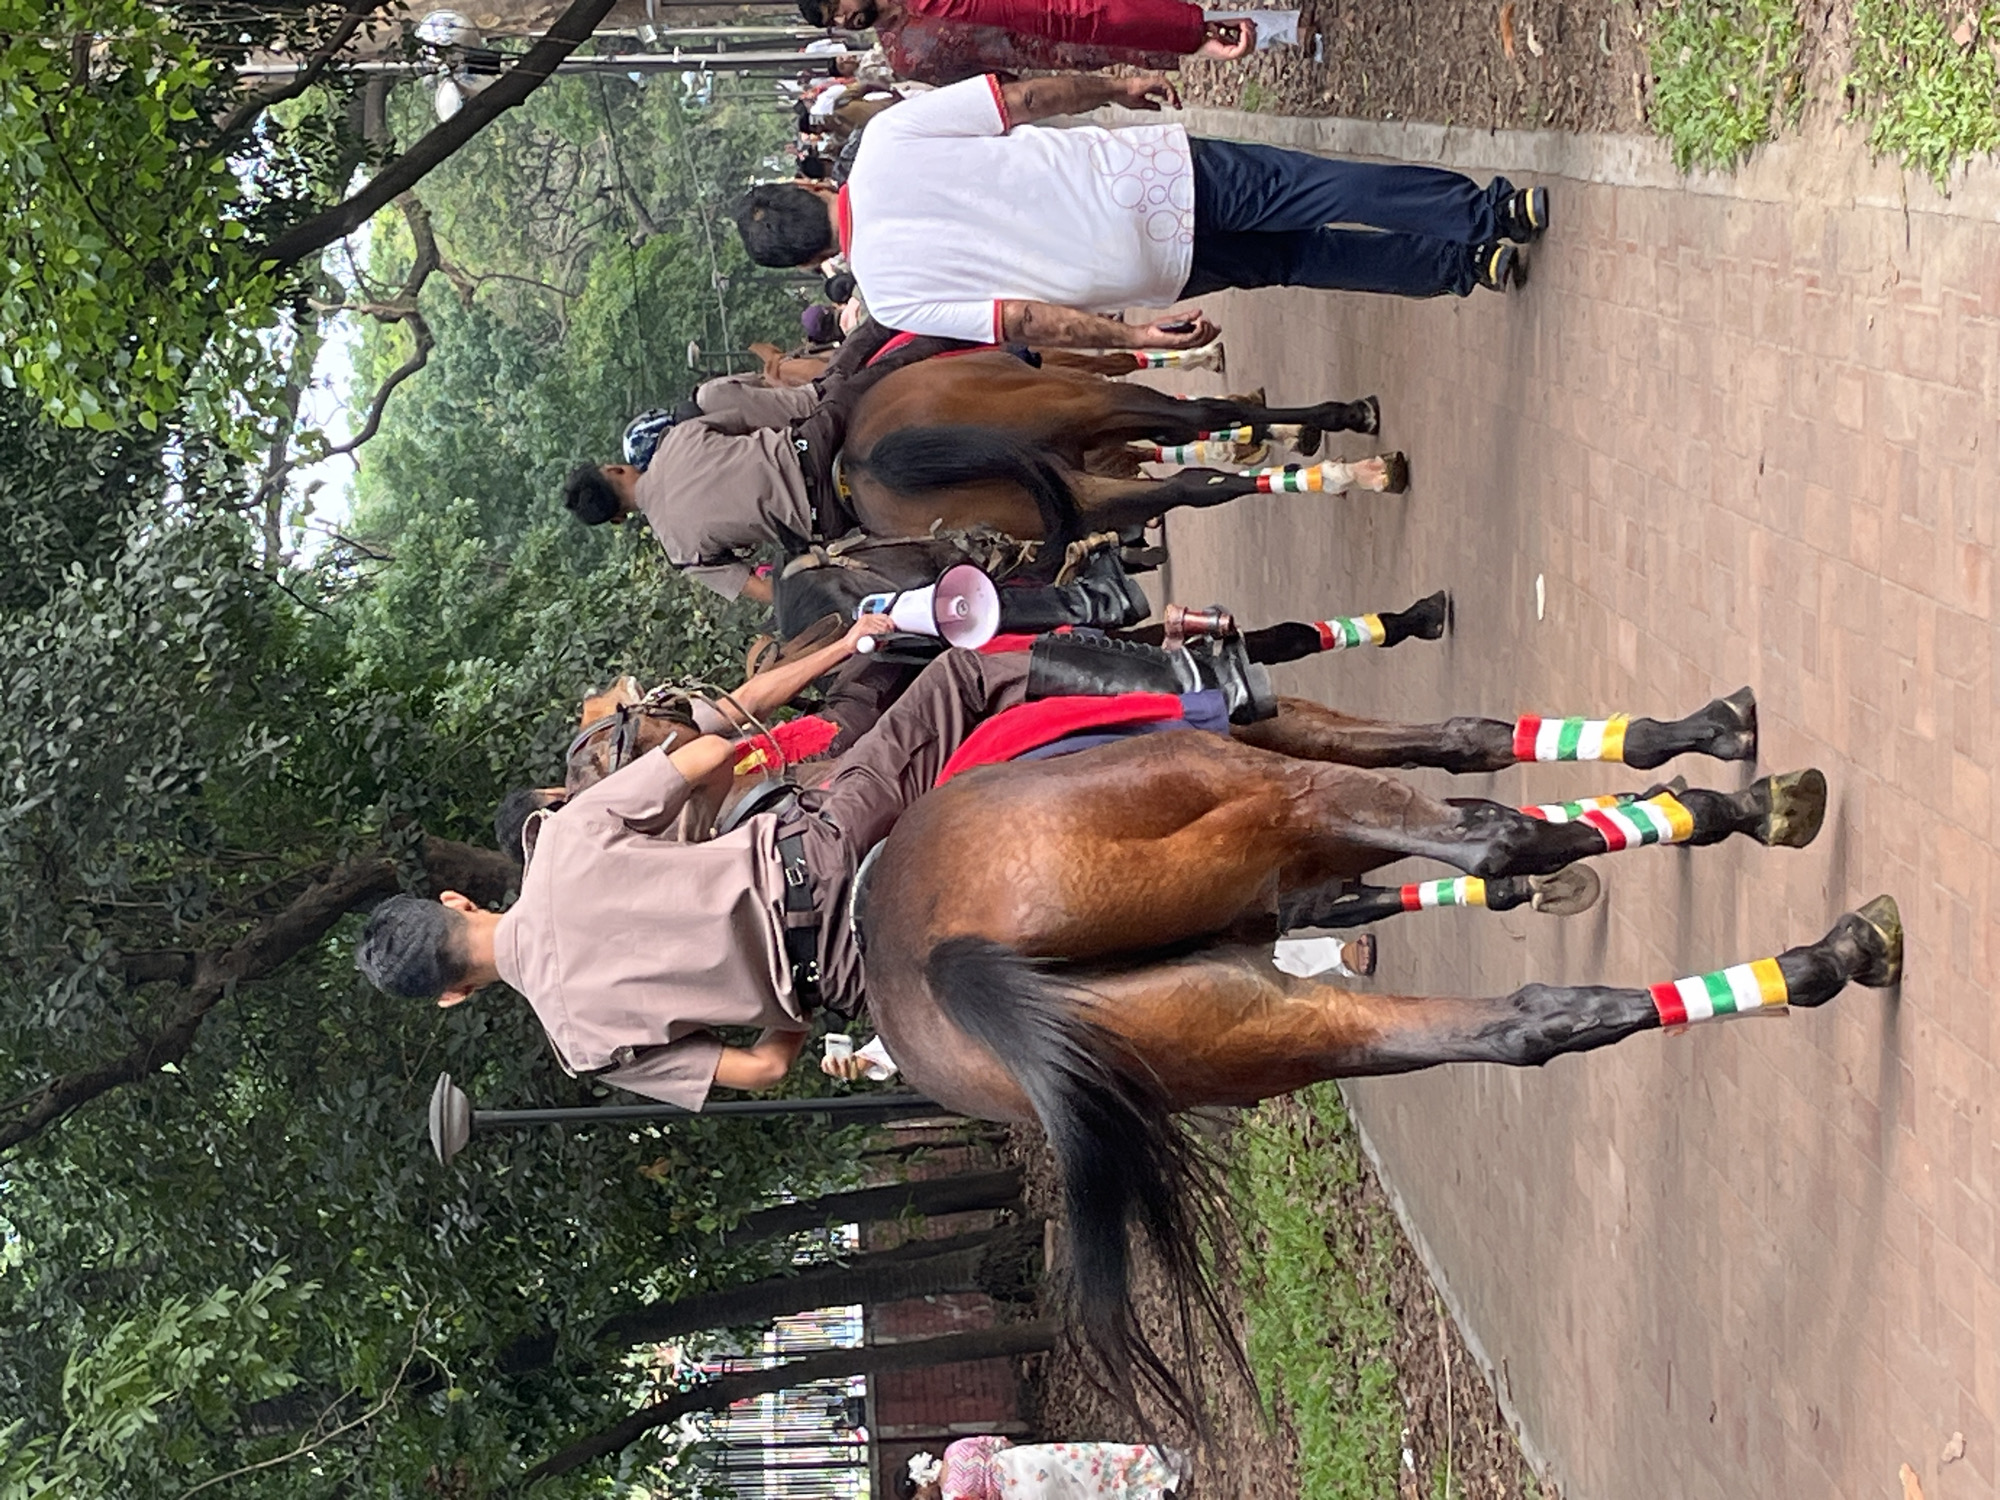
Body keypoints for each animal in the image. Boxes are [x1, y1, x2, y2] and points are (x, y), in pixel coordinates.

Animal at [836, 351, 1407, 546]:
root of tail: (864, 459)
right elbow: (1205, 421)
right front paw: (1343, 418)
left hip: (1072, 495)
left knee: (1191, 487)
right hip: (1090, 402)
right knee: (1200, 425)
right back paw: (1361, 464)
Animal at [850, 689, 1902, 1420]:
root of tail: (934, 959)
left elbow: (1468, 742)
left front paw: (1661, 781)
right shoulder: (1307, 766)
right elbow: (1480, 787)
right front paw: (1703, 774)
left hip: (1275, 1025)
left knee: (1524, 1020)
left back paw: (1813, 958)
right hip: (1280, 799)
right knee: (1493, 847)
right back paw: (1789, 888)